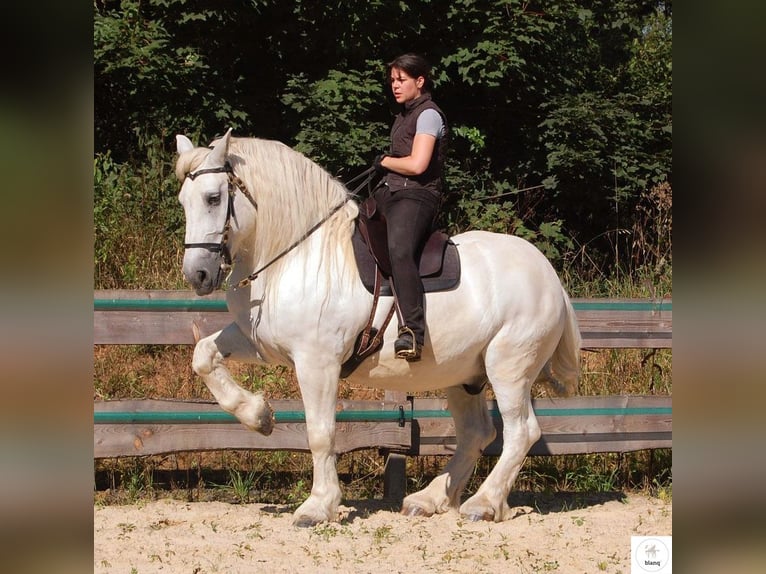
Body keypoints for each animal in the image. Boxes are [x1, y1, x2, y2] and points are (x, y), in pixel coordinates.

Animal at [176, 129, 584, 528]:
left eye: (213, 198)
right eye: (183, 200)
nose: (197, 275)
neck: (299, 255)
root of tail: (548, 274)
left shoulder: (317, 362)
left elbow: (320, 432)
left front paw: (317, 507)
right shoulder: (259, 343)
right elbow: (204, 357)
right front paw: (259, 416)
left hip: (509, 368)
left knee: (520, 432)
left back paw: (483, 504)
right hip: (465, 375)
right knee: (476, 433)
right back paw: (429, 500)